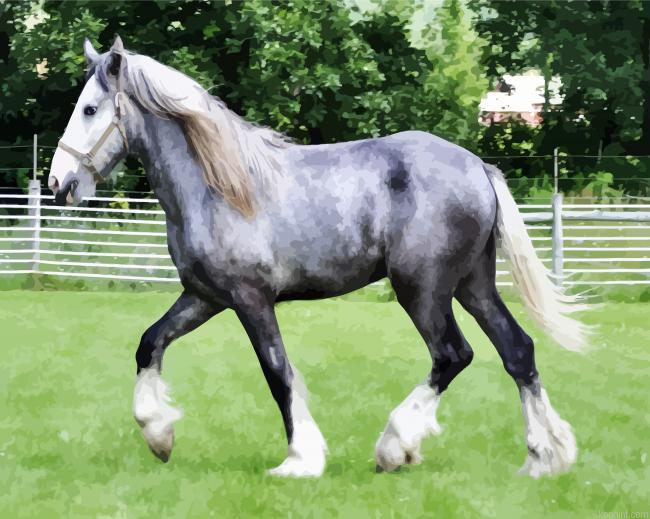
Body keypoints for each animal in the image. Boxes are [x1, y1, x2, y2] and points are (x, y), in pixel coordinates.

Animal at [48, 36, 588, 478]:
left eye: (90, 109)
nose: (59, 183)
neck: (218, 188)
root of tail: (479, 166)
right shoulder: (204, 297)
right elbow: (149, 344)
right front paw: (159, 435)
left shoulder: (251, 300)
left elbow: (278, 374)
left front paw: (300, 460)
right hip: (473, 285)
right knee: (517, 351)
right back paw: (546, 456)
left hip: (423, 290)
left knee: (453, 355)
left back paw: (395, 447)